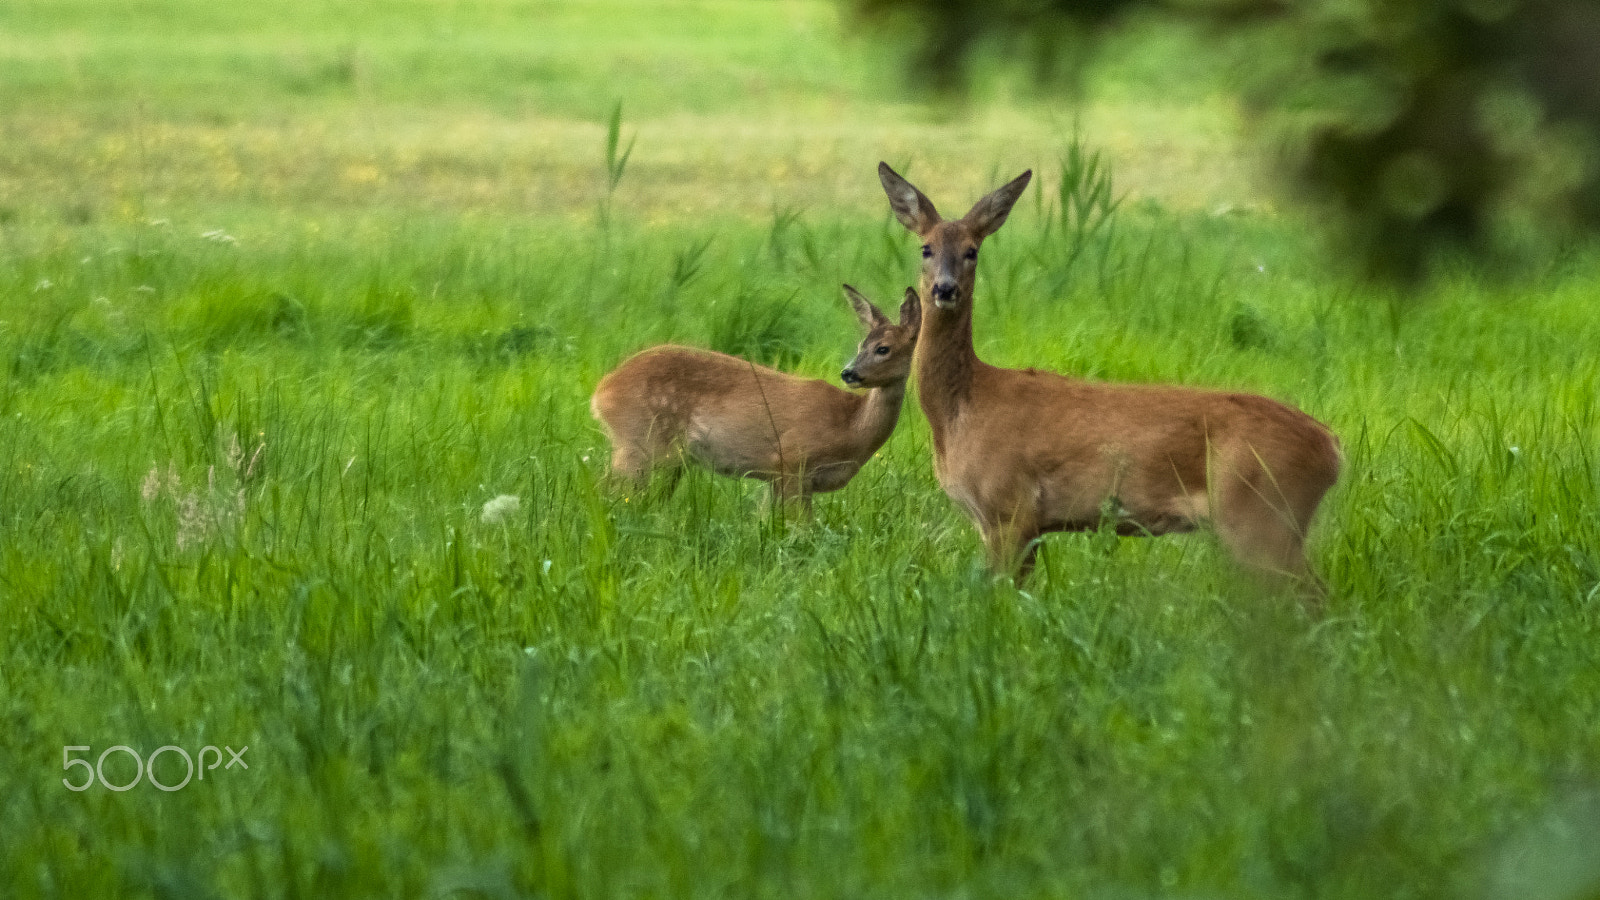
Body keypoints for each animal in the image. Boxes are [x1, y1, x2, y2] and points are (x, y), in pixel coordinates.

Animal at [598, 283, 928, 509]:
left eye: (882, 348)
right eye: (862, 345)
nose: (849, 373)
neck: (851, 427)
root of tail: (602, 392)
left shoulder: (778, 479)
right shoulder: (792, 461)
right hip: (639, 442)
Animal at [876, 160, 1337, 589]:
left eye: (972, 250)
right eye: (925, 248)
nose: (945, 289)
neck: (962, 410)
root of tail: (1333, 449)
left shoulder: (1010, 506)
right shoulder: (1022, 523)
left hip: (1260, 515)